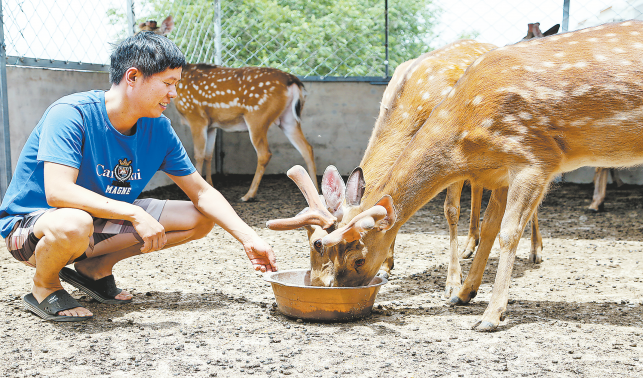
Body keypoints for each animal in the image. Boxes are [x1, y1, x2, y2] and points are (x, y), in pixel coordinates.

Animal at [140, 16, 318, 202]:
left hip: (258, 115)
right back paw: (316, 191)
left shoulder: (196, 116)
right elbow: (209, 154)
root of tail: (293, 81)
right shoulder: (211, 124)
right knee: (307, 148)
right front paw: (211, 184)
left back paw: (248, 195)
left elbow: (198, 154)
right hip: (288, 118)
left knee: (265, 153)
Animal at [270, 21, 643, 330]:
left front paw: (479, 307)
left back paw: (536, 252)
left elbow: (488, 225)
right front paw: (461, 291)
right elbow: (489, 226)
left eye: (358, 257)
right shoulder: (501, 169)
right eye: (314, 245)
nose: (325, 286)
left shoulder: (531, 158)